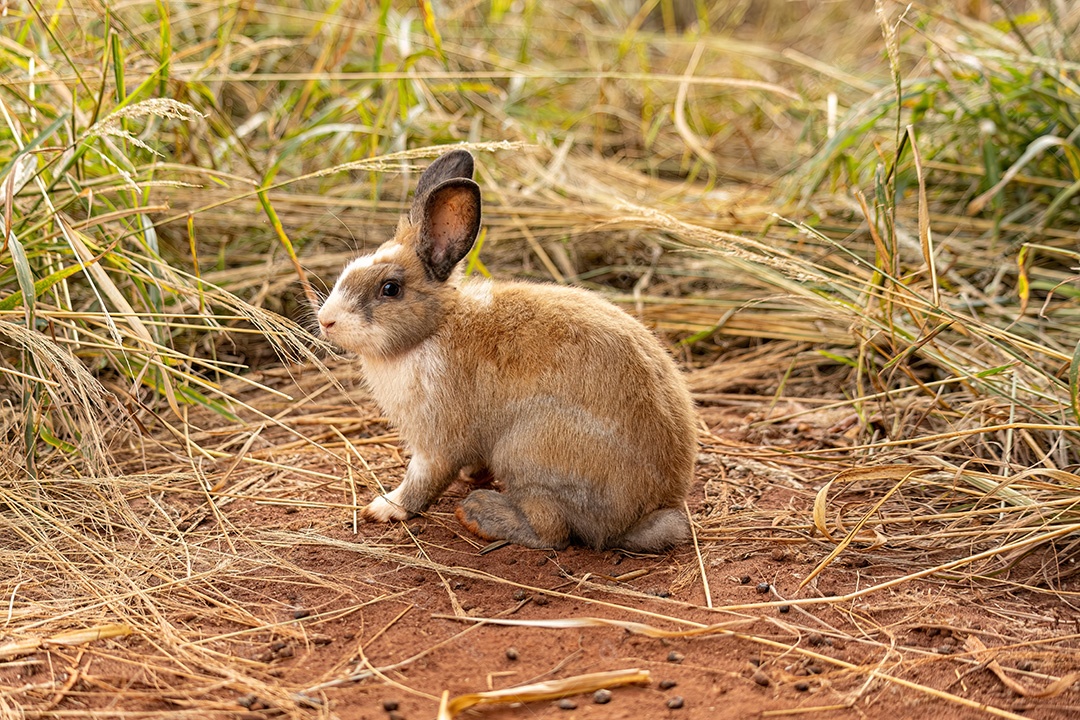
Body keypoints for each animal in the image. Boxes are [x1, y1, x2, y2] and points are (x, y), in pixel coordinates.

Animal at [317, 148, 697, 552]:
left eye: (390, 289)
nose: (326, 320)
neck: (435, 327)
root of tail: (648, 513)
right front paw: (472, 474)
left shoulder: (437, 442)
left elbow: (421, 482)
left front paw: (384, 507)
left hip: (528, 454)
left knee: (552, 531)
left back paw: (479, 512)